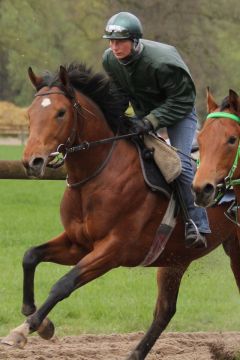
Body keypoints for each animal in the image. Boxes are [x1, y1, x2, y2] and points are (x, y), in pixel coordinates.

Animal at [2, 65, 240, 360]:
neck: (98, 174)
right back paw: (135, 354)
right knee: (165, 310)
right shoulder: (78, 243)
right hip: (176, 257)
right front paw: (37, 319)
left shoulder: (114, 249)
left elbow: (64, 284)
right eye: (30, 113)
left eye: (61, 112)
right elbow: (30, 256)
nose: (32, 161)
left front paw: (26, 329)